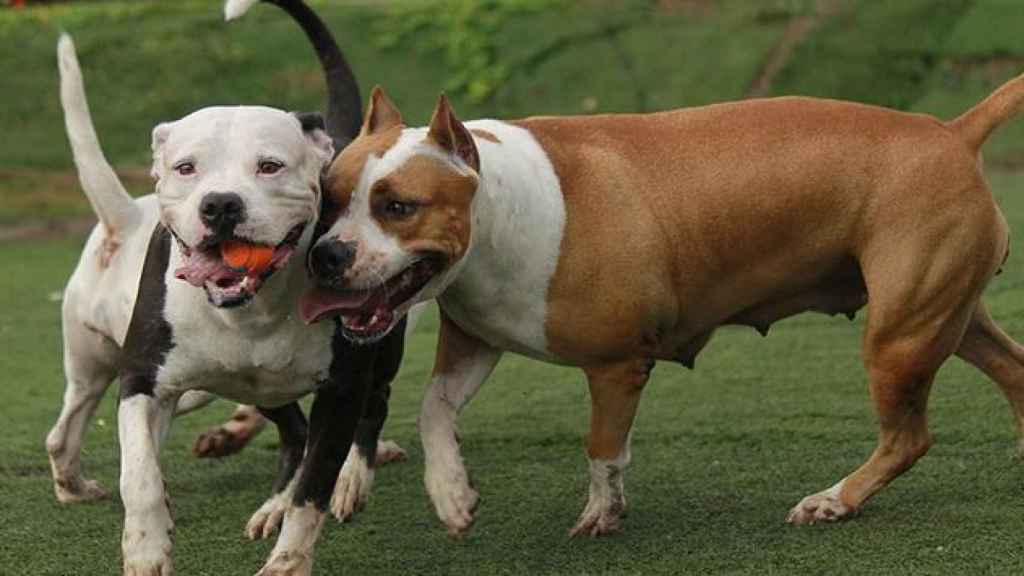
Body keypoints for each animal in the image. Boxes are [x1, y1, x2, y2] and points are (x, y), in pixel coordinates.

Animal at [299, 78, 1024, 537]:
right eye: (328, 198)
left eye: (398, 206)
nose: (326, 256)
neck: (496, 206)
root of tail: (953, 132)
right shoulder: (475, 340)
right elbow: (433, 409)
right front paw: (450, 494)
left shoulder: (616, 364)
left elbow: (603, 446)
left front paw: (603, 513)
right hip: (945, 317)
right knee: (1012, 370)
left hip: (899, 335)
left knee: (908, 437)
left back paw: (834, 502)